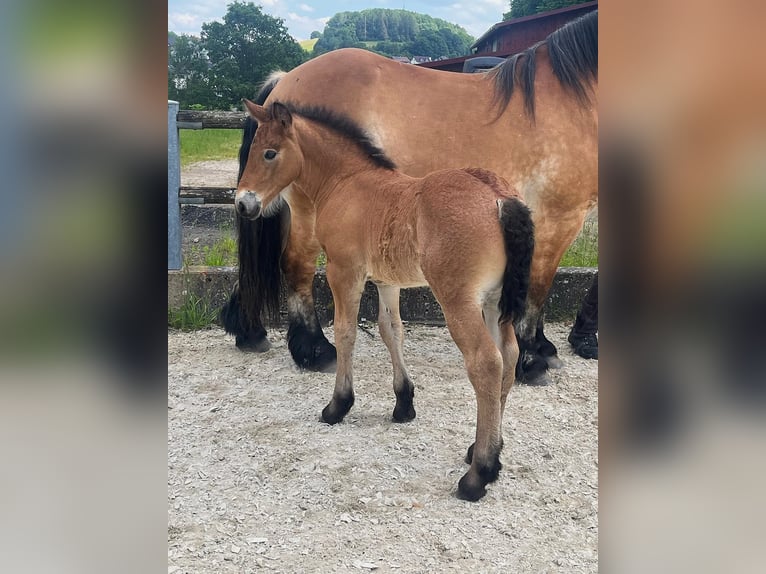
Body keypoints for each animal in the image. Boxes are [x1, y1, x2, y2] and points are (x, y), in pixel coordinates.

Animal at [222, 10, 600, 388]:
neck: (569, 99)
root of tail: (286, 79)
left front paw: (566, 342)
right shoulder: (560, 216)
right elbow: (537, 287)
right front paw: (533, 357)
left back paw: (249, 331)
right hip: (307, 212)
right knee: (296, 266)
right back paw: (315, 350)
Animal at [234, 101, 536, 502]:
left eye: (269, 153)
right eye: (252, 151)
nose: (243, 203)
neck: (346, 181)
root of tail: (499, 195)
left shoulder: (343, 271)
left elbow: (346, 332)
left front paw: (338, 405)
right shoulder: (386, 281)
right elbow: (391, 331)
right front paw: (404, 403)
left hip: (459, 300)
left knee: (486, 362)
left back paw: (478, 474)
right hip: (493, 301)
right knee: (509, 356)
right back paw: (486, 451)